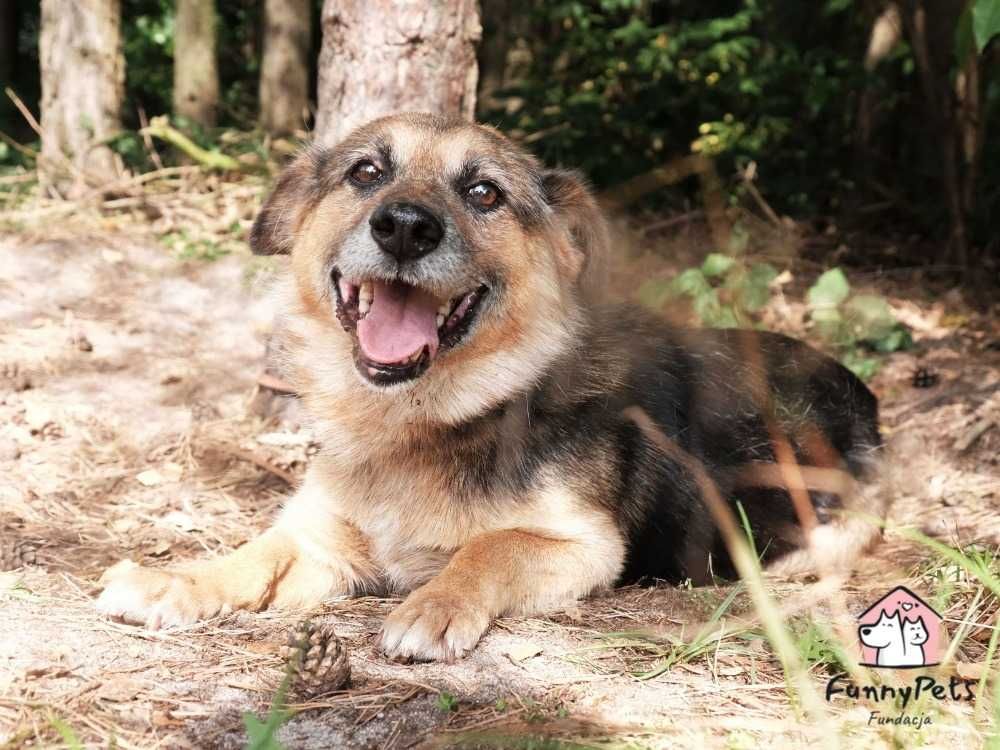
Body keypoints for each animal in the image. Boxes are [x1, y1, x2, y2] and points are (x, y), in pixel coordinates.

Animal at [97, 113, 888, 664]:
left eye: (483, 192)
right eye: (365, 172)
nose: (404, 227)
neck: (422, 424)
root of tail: (856, 384)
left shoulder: (585, 547)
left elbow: (490, 547)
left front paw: (434, 603)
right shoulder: (320, 539)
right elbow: (253, 554)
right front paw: (178, 579)